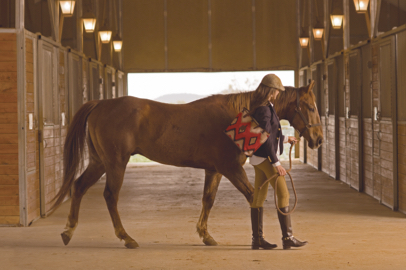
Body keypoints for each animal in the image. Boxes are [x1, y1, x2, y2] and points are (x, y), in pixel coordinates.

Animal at [51, 80, 324, 249]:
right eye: (310, 106)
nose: (319, 140)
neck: (241, 116)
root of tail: (101, 103)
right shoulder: (231, 170)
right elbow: (252, 198)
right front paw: (262, 241)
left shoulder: (214, 170)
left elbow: (208, 200)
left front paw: (206, 235)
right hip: (115, 163)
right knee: (110, 196)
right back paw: (127, 238)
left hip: (99, 162)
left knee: (78, 187)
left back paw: (67, 232)